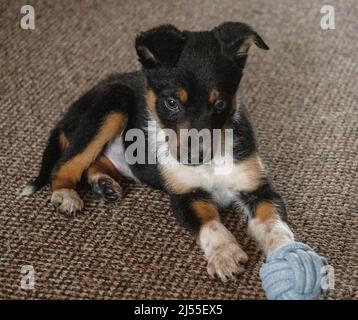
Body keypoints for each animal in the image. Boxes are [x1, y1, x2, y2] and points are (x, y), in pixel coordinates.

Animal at [23, 22, 296, 282]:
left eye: (220, 104)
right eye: (171, 103)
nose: (195, 157)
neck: (210, 165)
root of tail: (71, 109)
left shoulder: (257, 187)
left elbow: (273, 223)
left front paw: (287, 253)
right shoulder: (185, 195)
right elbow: (210, 225)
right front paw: (224, 254)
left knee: (95, 161)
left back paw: (103, 183)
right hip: (114, 100)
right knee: (66, 163)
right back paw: (65, 194)